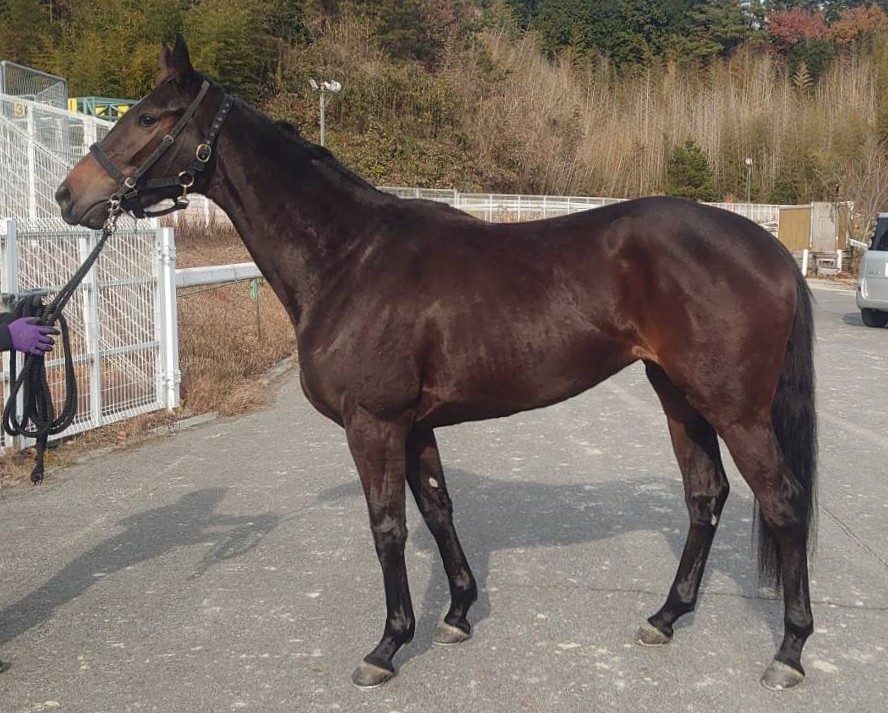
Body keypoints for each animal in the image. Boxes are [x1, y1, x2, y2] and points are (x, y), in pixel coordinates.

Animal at [55, 36, 817, 691]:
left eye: (148, 116)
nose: (70, 195)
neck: (349, 257)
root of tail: (772, 250)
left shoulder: (374, 423)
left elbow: (387, 524)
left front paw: (388, 645)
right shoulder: (414, 424)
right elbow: (437, 508)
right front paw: (455, 614)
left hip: (735, 409)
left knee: (783, 502)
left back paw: (789, 650)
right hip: (678, 394)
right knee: (705, 496)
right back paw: (665, 616)